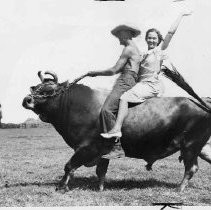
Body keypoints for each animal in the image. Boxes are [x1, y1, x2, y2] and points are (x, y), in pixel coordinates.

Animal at [21, 73, 211, 192]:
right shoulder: (103, 151)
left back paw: (179, 188)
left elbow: (69, 166)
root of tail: (200, 101)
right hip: (200, 147)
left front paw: (61, 186)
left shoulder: (87, 147)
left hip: (190, 146)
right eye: (35, 88)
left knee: (191, 168)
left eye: (49, 90)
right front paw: (100, 188)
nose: (27, 99)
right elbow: (101, 171)